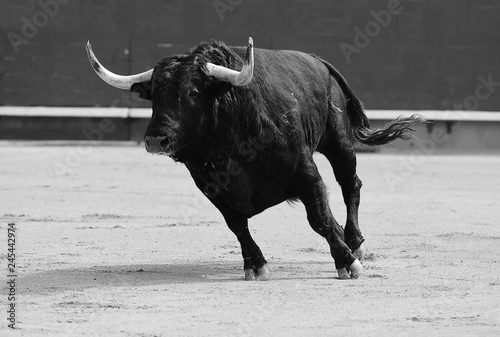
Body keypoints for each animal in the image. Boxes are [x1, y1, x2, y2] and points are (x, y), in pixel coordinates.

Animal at [86, 38, 422, 280]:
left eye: (193, 92)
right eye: (154, 93)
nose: (157, 139)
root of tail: (318, 61)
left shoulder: (305, 172)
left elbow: (319, 218)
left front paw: (346, 262)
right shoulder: (210, 186)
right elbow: (236, 224)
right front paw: (256, 265)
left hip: (338, 141)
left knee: (350, 185)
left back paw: (354, 243)